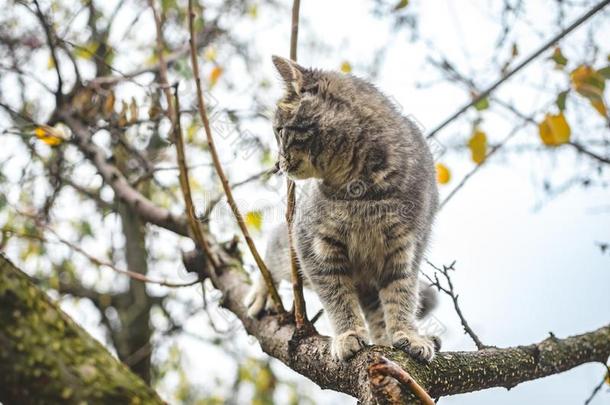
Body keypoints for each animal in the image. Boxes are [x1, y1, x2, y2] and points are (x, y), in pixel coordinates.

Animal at [245, 55, 440, 362]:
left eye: (279, 131)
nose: (277, 164)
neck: (363, 194)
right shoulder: (313, 246)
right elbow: (337, 296)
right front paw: (348, 334)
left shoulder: (406, 251)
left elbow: (402, 295)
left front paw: (407, 334)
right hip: (290, 253)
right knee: (272, 255)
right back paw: (261, 290)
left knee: (377, 311)